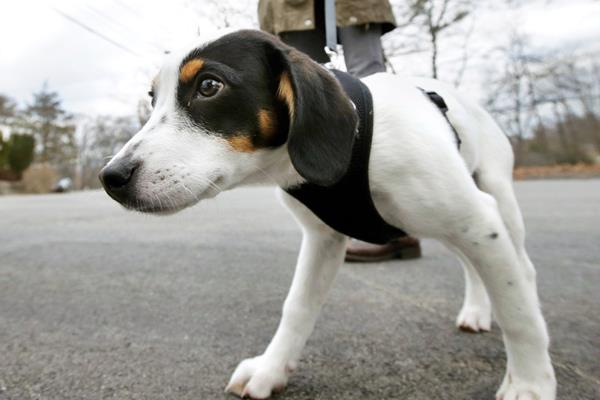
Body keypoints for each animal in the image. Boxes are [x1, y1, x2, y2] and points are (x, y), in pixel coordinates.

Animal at [99, 29, 556, 398]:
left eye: (209, 86)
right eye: (153, 98)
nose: (111, 177)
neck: (355, 140)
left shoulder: (478, 219)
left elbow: (518, 315)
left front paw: (530, 384)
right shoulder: (324, 239)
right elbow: (297, 307)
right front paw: (271, 369)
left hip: (493, 200)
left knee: (524, 269)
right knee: (473, 265)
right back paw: (477, 310)